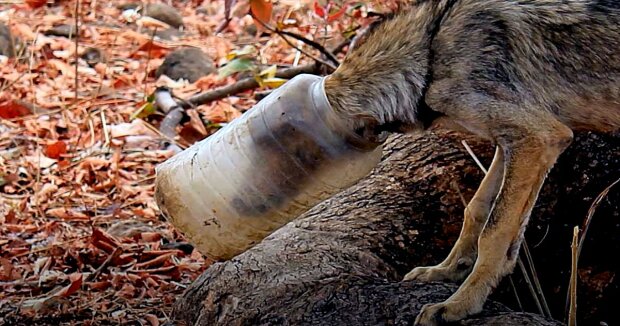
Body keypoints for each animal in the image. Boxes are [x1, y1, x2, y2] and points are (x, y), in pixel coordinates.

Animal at [324, 0, 620, 324]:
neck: (429, 56)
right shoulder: (511, 142)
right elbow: (476, 210)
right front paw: (447, 270)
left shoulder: (540, 137)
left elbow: (494, 232)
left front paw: (461, 304)